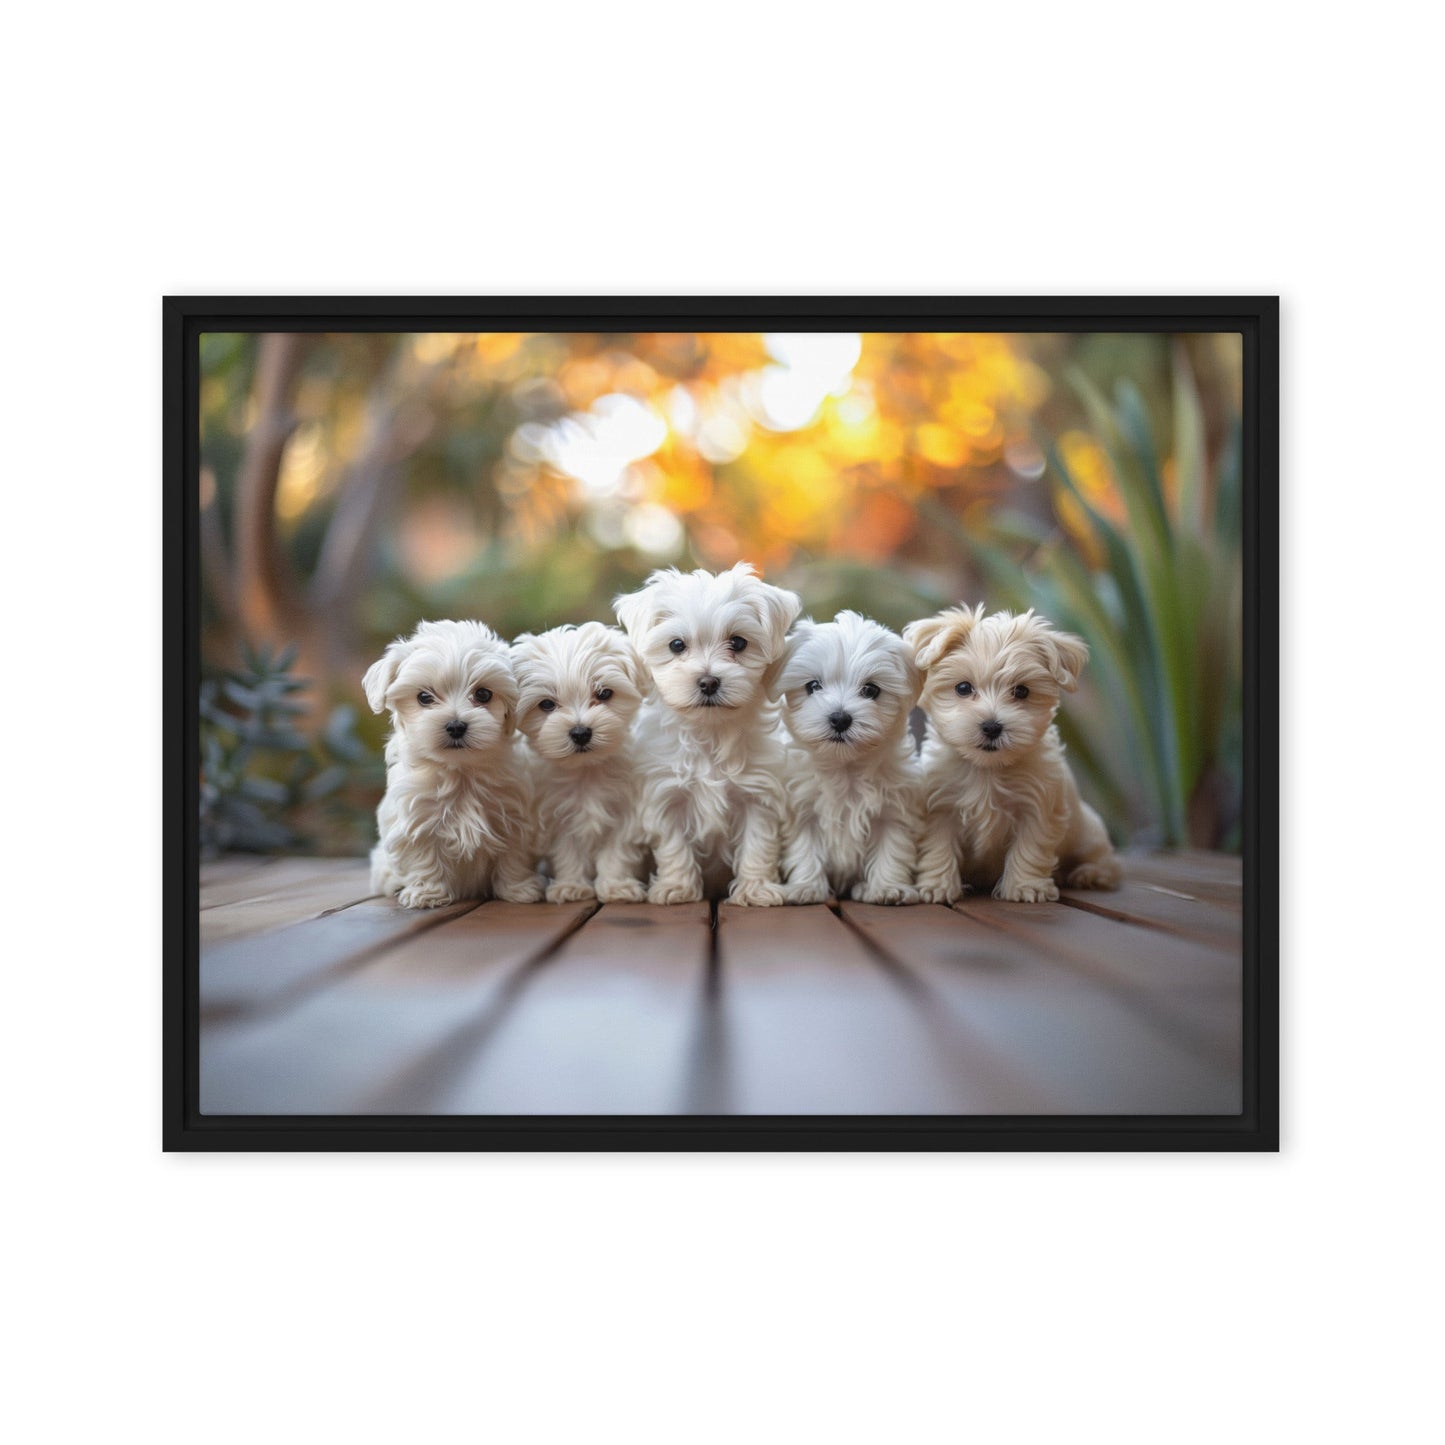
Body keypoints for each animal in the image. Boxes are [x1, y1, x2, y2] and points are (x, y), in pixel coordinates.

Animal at [361, 615, 543, 907]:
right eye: (424, 697)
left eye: (483, 694)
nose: (456, 726)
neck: (461, 770)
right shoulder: (417, 821)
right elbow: (424, 857)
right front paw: (427, 893)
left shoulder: (514, 817)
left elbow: (513, 856)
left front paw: (518, 889)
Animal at [505, 621, 647, 901]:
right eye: (547, 704)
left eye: (604, 693)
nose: (580, 732)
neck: (586, 770)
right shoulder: (557, 817)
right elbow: (568, 853)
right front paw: (571, 886)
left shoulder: (625, 814)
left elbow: (616, 852)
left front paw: (616, 886)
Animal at [609, 560, 803, 901]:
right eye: (676, 645)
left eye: (738, 642)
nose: (709, 681)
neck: (709, 731)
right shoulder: (666, 795)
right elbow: (673, 846)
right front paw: (677, 887)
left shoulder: (758, 796)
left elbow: (758, 844)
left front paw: (756, 888)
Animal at [774, 609, 919, 901]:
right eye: (813, 686)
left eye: (871, 690)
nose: (840, 718)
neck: (845, 766)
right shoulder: (802, 809)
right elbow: (805, 848)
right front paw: (805, 887)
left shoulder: (893, 810)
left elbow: (892, 847)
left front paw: (887, 887)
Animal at [907, 601, 1121, 901]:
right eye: (963, 688)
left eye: (1021, 691)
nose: (992, 726)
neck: (987, 768)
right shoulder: (940, 807)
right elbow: (938, 847)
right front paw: (936, 885)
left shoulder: (1038, 807)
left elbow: (1029, 847)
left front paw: (1025, 886)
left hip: (1088, 833)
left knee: (1106, 860)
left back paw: (1090, 874)